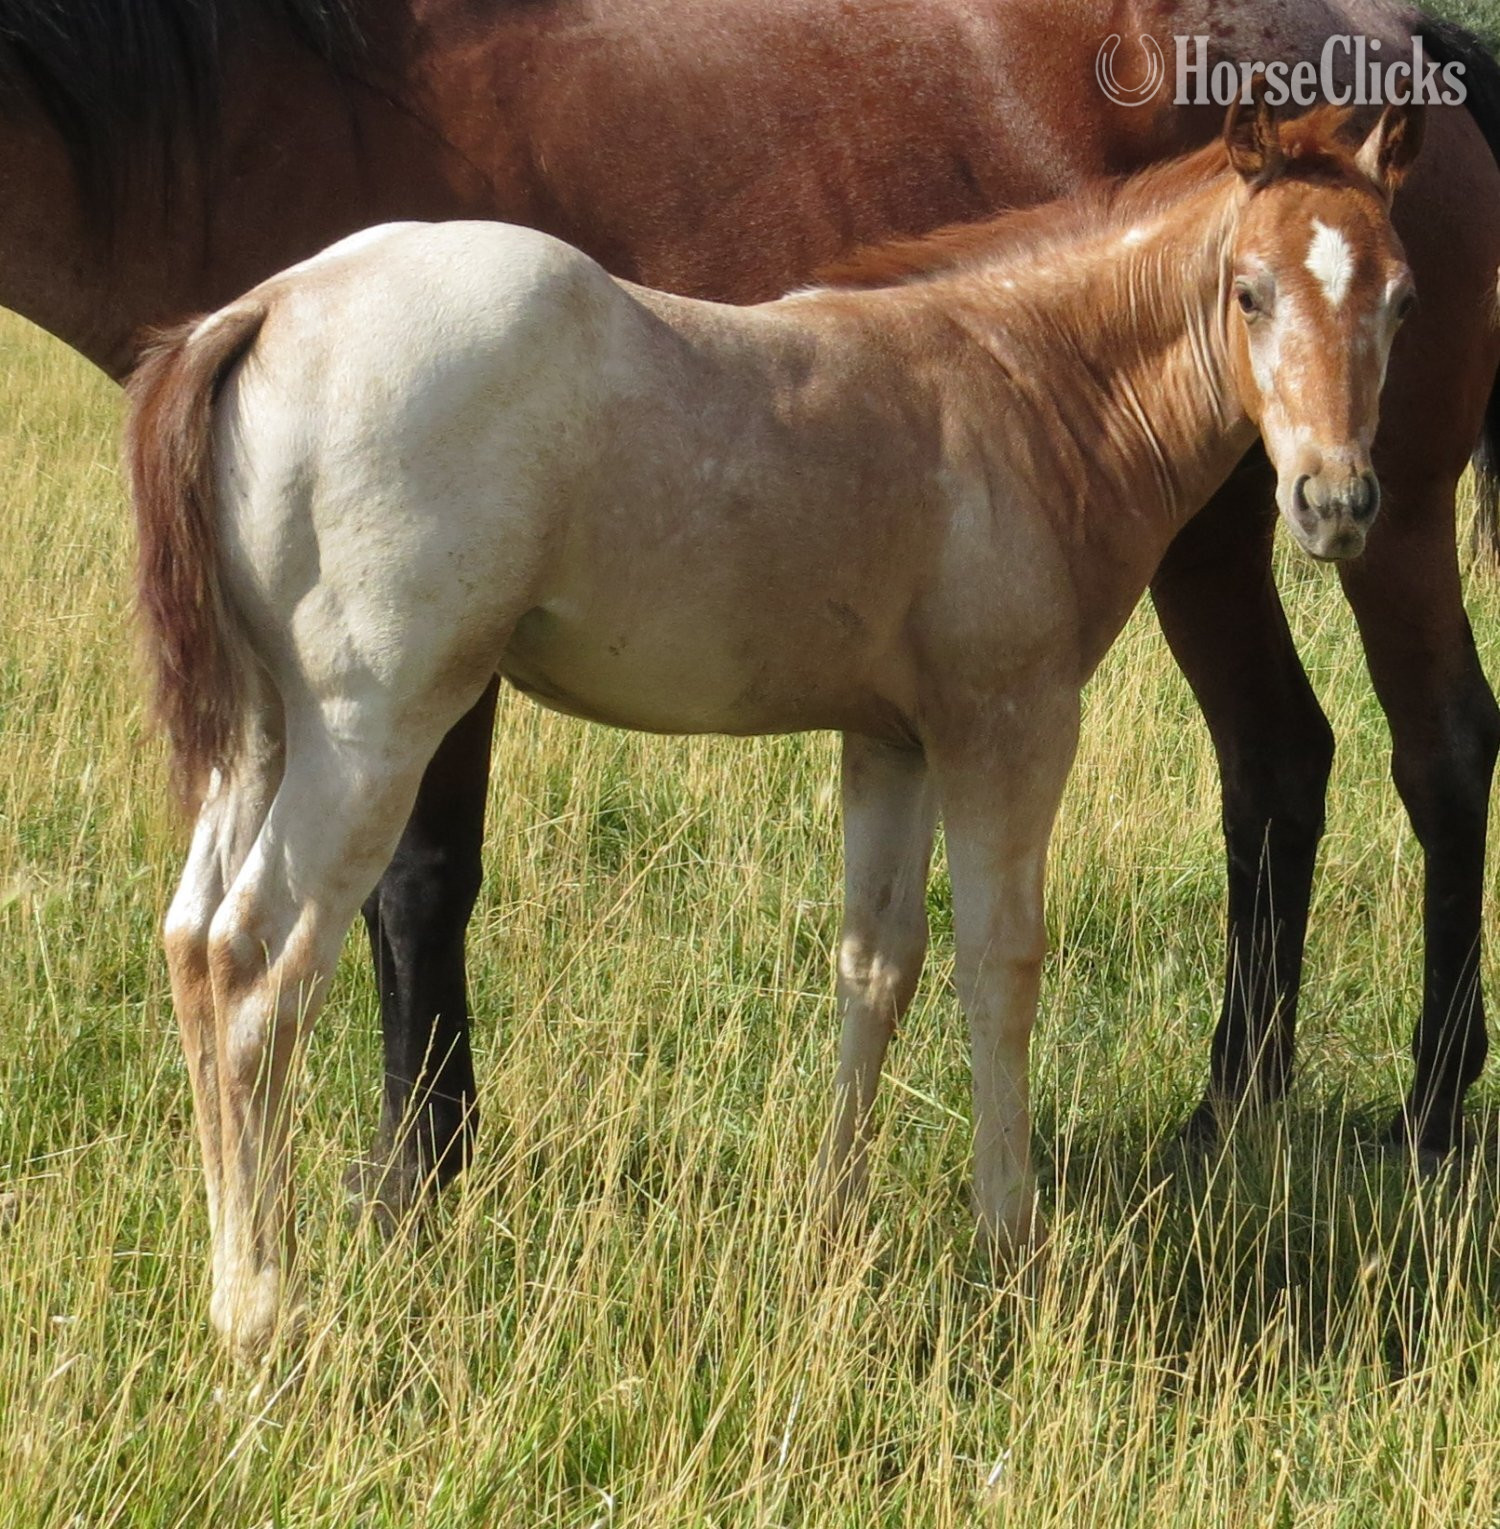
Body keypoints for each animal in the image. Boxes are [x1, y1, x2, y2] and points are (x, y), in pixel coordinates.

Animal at [3, 1, 1499, 1213]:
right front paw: (1005, 1236)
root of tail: (254, 313)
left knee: (1410, 751)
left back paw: (1375, 1113)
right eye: (1248, 294)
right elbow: (988, 960)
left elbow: (875, 961)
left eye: (1403, 300)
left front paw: (836, 1213)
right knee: (244, 956)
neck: (1008, 372)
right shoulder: (1002, 724)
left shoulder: (895, 732)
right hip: (347, 724)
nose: (1332, 496)